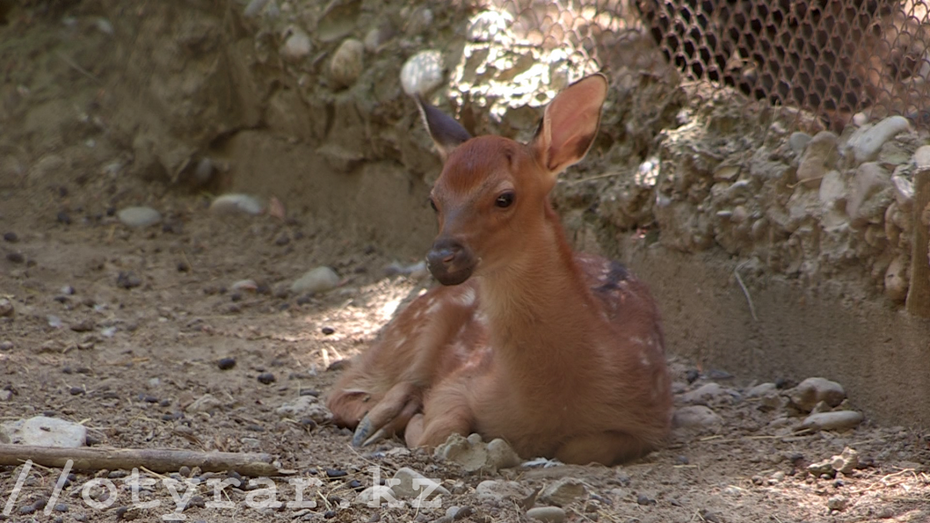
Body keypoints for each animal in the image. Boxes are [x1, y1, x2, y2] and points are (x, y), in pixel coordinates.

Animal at [322, 73, 672, 466]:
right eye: (433, 200)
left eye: (505, 197)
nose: (441, 256)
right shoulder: (462, 379)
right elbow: (438, 431)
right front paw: (411, 420)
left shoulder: (651, 415)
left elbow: (582, 448)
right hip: (414, 329)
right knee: (345, 389)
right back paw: (380, 420)